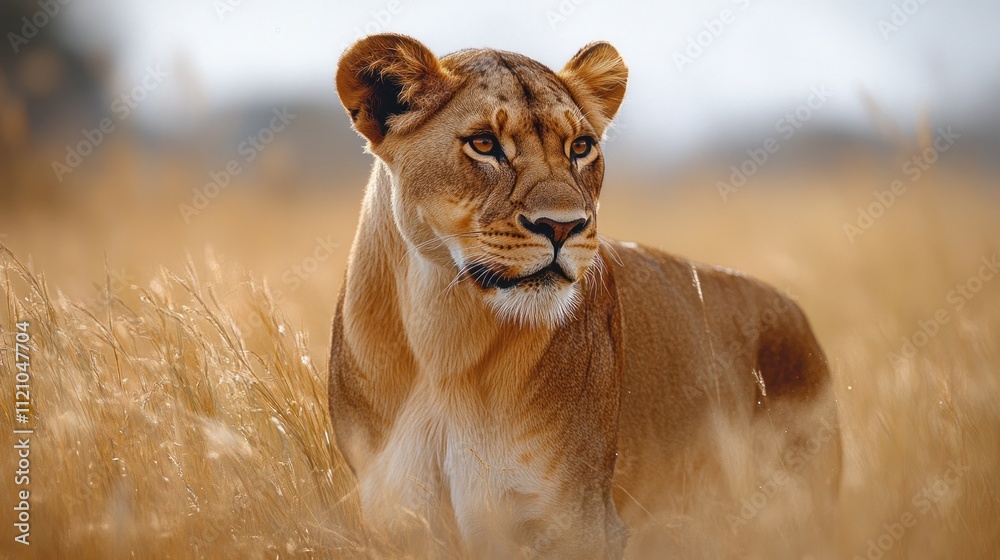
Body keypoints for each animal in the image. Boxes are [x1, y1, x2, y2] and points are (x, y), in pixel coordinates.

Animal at [328, 34, 841, 559]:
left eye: (580, 147)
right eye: (484, 144)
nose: (563, 226)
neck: (443, 339)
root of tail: (790, 305)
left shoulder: (577, 518)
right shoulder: (400, 519)